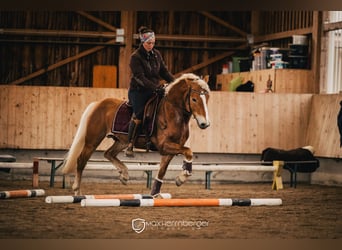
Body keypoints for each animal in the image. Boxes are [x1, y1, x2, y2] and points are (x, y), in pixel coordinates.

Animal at [62, 73, 211, 196]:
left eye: (207, 98)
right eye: (194, 99)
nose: (205, 124)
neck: (173, 112)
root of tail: (98, 103)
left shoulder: (171, 148)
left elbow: (162, 170)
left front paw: (157, 192)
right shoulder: (164, 146)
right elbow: (188, 151)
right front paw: (184, 175)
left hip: (121, 141)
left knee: (109, 153)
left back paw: (124, 174)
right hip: (92, 140)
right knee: (81, 160)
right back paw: (77, 191)